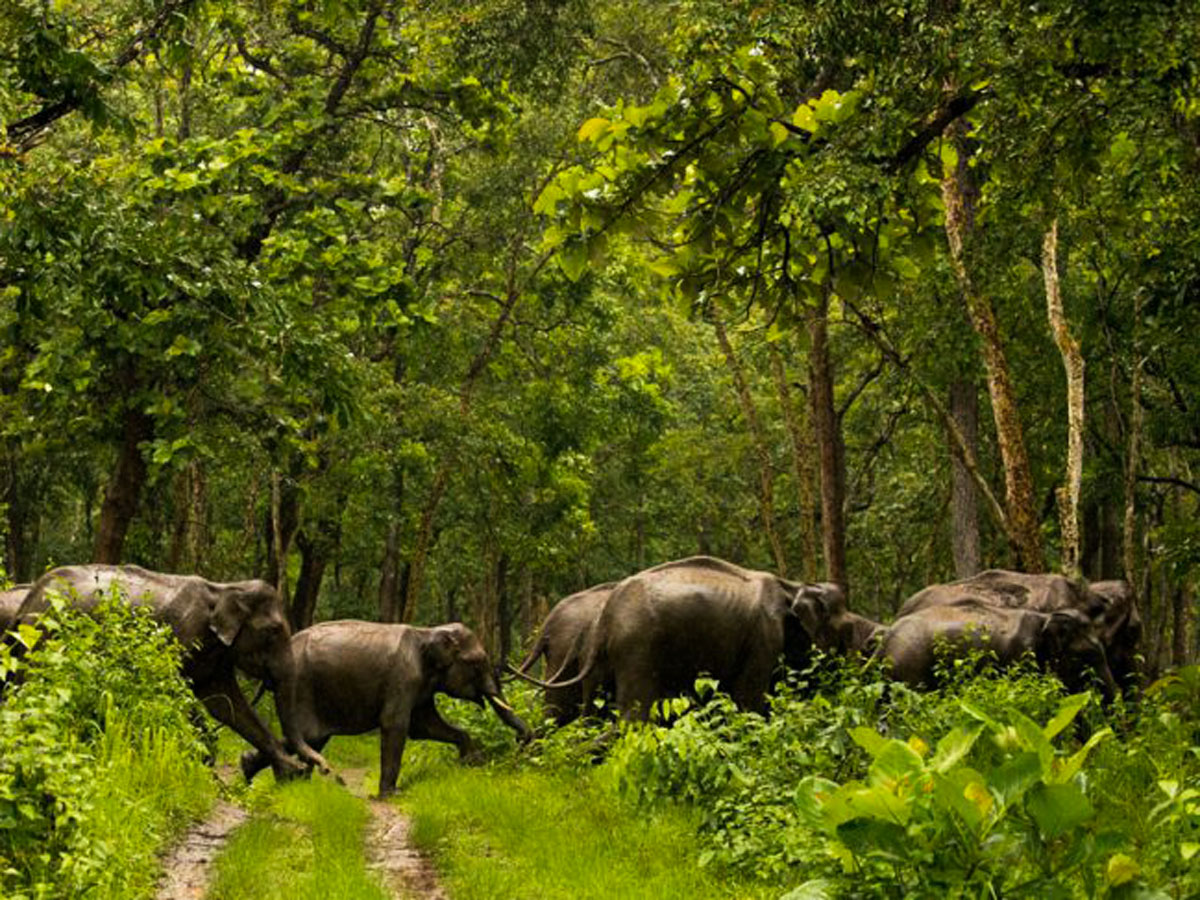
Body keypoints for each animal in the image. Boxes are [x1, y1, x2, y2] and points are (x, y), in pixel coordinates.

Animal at [14, 564, 328, 780]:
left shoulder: (217, 658)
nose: (320, 770)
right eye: (273, 631)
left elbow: (227, 705)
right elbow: (174, 693)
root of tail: (31, 596)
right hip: (43, 639)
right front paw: (205, 763)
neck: (225, 589)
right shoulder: (178, 636)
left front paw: (289, 771)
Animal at [239, 620, 532, 797]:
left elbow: (425, 726)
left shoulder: (421, 687)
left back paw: (259, 772)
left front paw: (471, 762)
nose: (523, 739)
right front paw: (391, 795)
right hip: (300, 688)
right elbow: (397, 725)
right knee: (309, 735)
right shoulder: (403, 678)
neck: (427, 632)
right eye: (477, 662)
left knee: (310, 739)